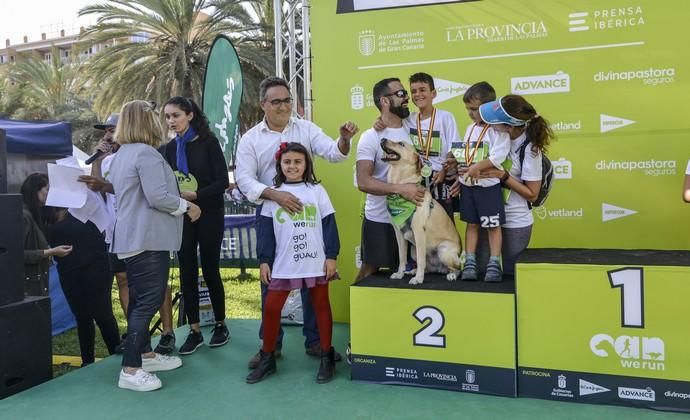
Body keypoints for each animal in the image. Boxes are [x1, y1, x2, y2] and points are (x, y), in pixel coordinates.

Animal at [382, 139, 462, 286]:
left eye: (401, 144)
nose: (382, 139)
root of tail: (439, 268)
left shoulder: (418, 231)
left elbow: (420, 260)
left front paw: (418, 279)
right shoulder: (399, 232)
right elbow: (402, 257)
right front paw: (400, 274)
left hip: (443, 250)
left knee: (457, 267)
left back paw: (451, 275)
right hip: (413, 250)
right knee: (428, 267)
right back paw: (414, 271)